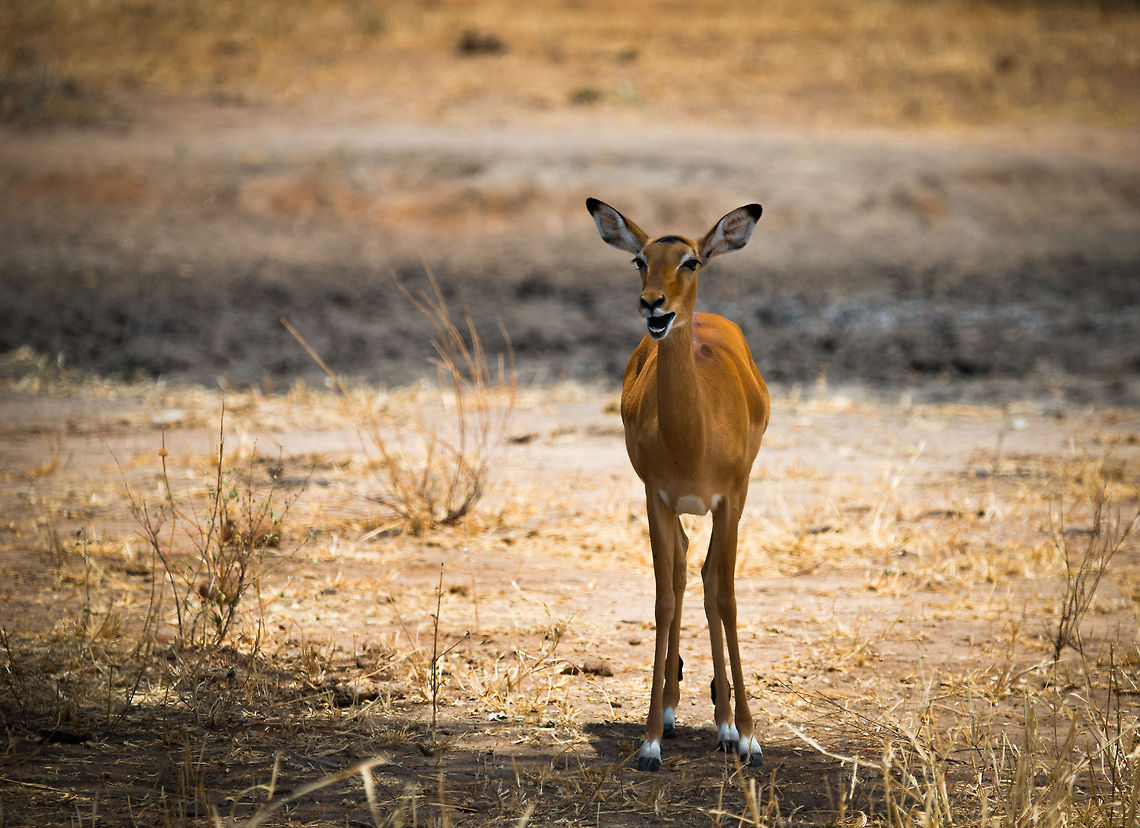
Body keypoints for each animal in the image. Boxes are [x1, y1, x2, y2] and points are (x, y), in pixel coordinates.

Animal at [586, 198, 770, 772]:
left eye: (690, 261)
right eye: (639, 260)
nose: (653, 306)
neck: (692, 437)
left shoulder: (731, 499)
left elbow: (726, 597)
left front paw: (748, 736)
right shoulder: (657, 499)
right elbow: (664, 599)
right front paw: (649, 743)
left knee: (709, 580)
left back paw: (726, 724)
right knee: (687, 570)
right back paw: (674, 710)